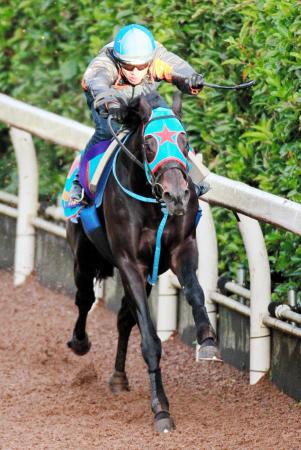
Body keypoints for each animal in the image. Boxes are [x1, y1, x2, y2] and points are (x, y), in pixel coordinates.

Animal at [66, 92, 218, 432]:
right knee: (84, 298)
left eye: (185, 140)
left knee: (124, 318)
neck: (151, 203)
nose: (177, 196)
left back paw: (119, 377)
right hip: (83, 256)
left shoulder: (181, 249)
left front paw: (207, 339)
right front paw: (160, 409)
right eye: (149, 143)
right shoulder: (129, 264)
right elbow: (150, 339)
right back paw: (79, 342)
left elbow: (195, 293)